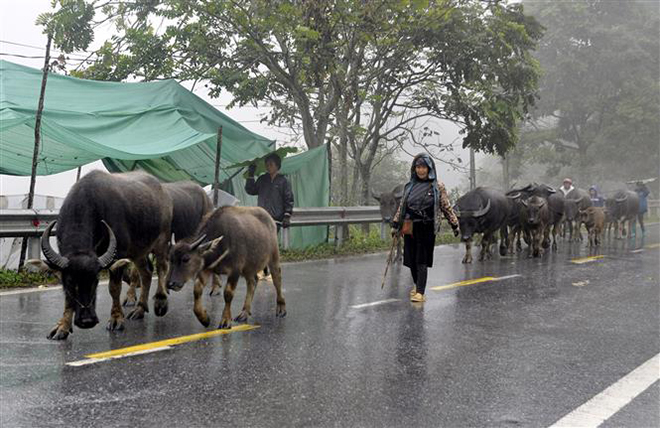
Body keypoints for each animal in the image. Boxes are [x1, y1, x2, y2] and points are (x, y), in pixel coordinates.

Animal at [38, 171, 173, 342]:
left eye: (95, 280)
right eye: (70, 281)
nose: (87, 321)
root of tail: (162, 190)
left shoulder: (118, 256)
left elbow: (114, 288)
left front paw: (116, 319)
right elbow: (68, 297)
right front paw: (63, 327)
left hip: (162, 239)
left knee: (162, 267)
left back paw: (160, 303)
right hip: (138, 250)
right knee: (147, 272)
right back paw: (139, 310)